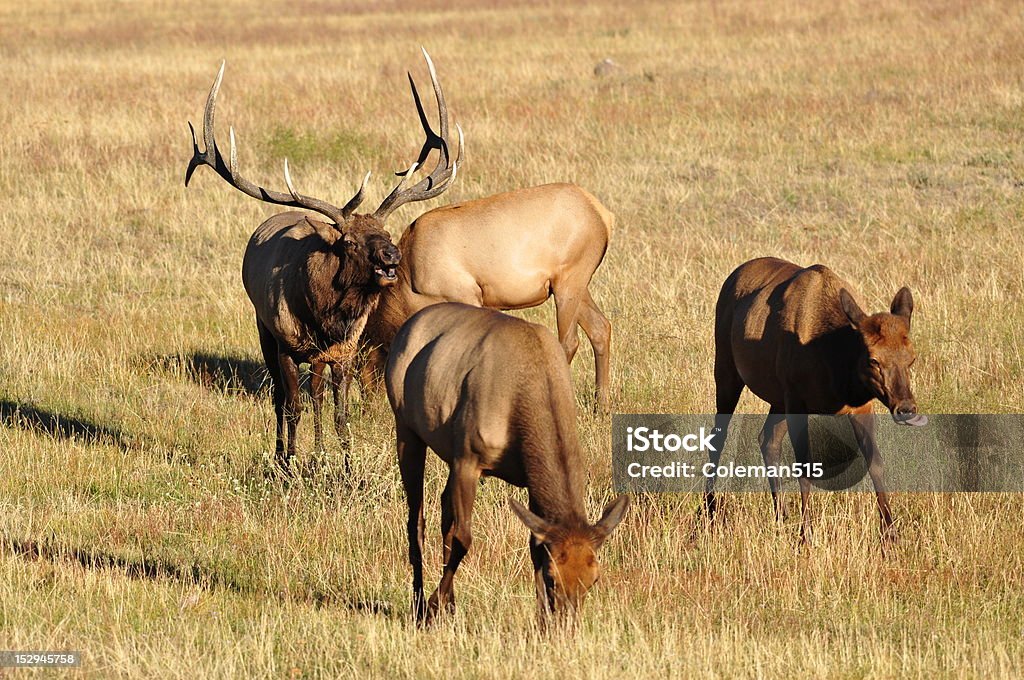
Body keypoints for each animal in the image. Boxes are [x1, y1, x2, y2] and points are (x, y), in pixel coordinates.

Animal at [185, 49, 464, 473]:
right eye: (348, 242)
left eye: (386, 231)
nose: (391, 255)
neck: (325, 318)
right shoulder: (287, 344)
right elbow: (293, 406)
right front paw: (291, 465)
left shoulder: (344, 353)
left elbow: (339, 413)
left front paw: (345, 467)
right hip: (263, 329)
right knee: (281, 399)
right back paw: (284, 456)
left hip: (317, 358)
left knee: (316, 396)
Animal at [387, 305, 626, 622]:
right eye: (553, 577)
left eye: (594, 579)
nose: (566, 622)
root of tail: (405, 329)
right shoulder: (468, 459)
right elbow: (464, 538)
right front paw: (434, 604)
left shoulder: (527, 478)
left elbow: (534, 546)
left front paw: (540, 619)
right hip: (407, 429)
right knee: (416, 519)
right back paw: (420, 603)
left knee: (443, 510)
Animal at [708, 256, 925, 540]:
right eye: (873, 360)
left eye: (911, 358)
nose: (906, 408)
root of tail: (733, 275)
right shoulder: (796, 401)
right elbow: (805, 468)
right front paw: (806, 534)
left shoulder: (860, 406)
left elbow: (876, 462)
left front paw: (890, 534)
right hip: (726, 368)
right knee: (718, 435)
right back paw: (709, 510)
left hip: (778, 398)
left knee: (768, 439)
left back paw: (781, 515)